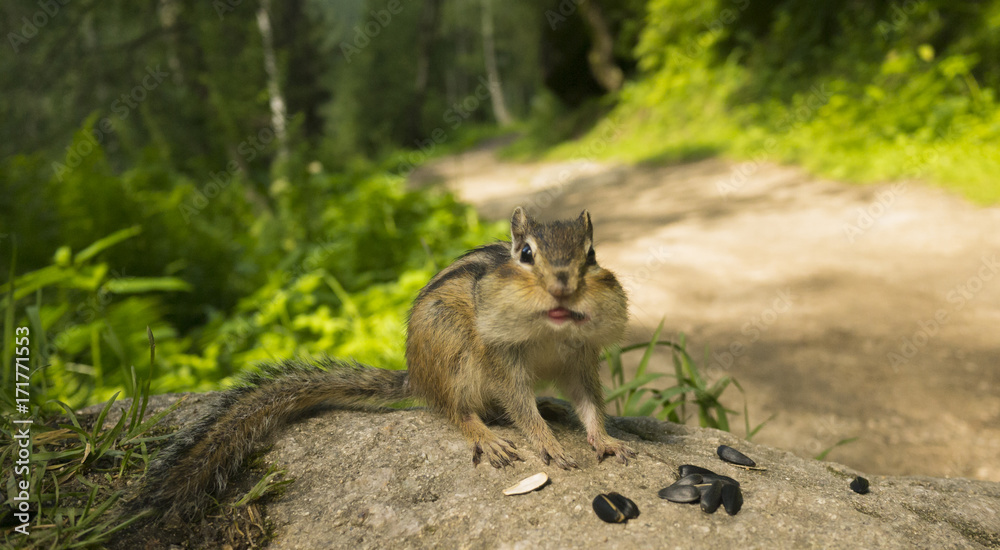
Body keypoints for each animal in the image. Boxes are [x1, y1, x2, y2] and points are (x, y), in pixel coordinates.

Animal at [136, 207, 635, 520]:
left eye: (591, 255)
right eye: (525, 254)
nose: (564, 285)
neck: (551, 329)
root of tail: (416, 376)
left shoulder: (579, 360)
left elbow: (589, 402)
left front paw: (606, 440)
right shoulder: (501, 359)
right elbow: (518, 406)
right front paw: (547, 443)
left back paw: (549, 406)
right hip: (451, 353)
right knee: (456, 409)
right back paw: (487, 436)